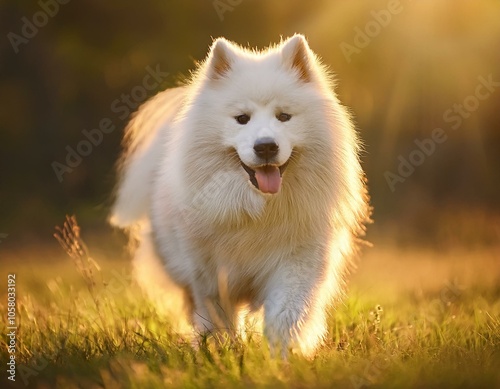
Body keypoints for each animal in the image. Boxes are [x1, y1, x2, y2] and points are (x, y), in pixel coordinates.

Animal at [111, 34, 370, 356]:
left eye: (284, 116)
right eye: (242, 118)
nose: (266, 146)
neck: (256, 207)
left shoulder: (296, 262)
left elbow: (285, 313)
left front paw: (280, 357)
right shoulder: (210, 274)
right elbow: (218, 318)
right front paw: (222, 353)